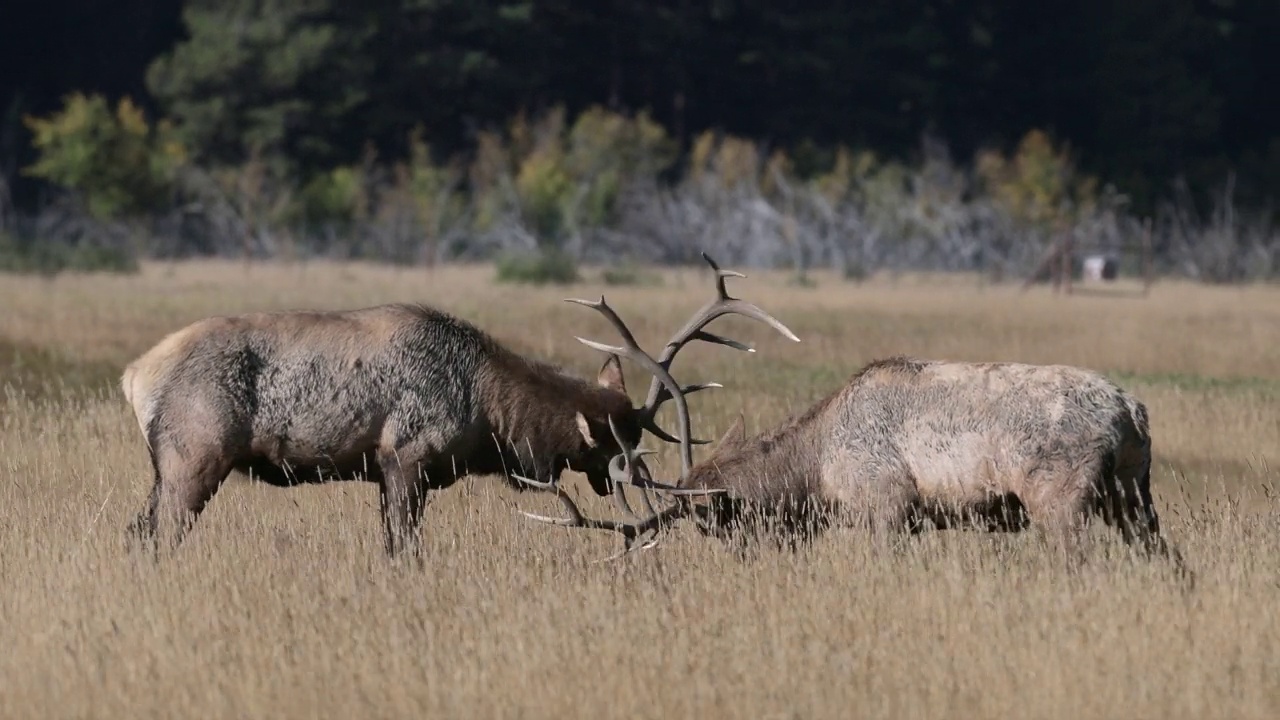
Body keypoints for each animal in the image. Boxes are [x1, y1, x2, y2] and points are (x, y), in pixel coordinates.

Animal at [122, 252, 798, 556]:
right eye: (615, 443)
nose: (625, 483)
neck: (487, 416)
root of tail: (134, 375)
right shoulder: (405, 459)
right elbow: (403, 549)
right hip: (194, 456)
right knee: (156, 536)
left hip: (168, 468)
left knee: (134, 532)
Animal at [517, 304, 1187, 573]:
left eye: (716, 521)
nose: (745, 561)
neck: (817, 472)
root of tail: (1132, 412)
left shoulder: (885, 504)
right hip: (1134, 495)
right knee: (1171, 559)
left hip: (1061, 496)